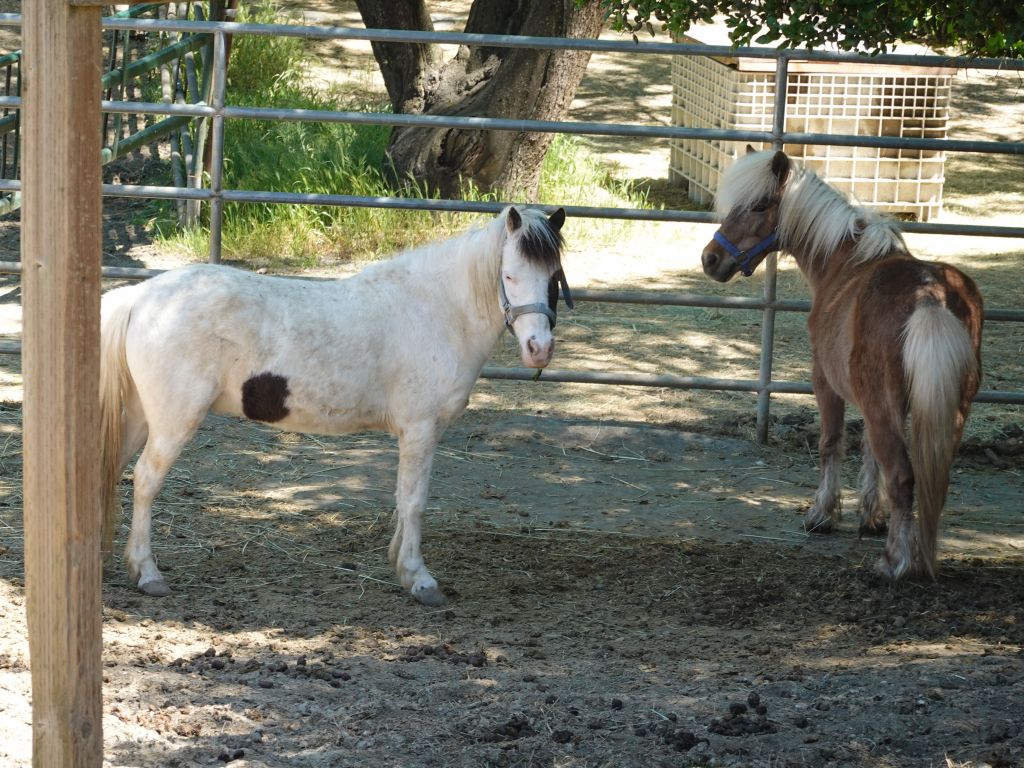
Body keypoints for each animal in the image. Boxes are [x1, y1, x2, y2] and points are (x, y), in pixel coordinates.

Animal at [99, 205, 573, 606]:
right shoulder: (420, 429)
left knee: (114, 472)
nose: (538, 350)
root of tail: (141, 296)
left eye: (553, 276)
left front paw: (400, 565)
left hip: (140, 417)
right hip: (172, 421)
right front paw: (420, 580)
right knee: (145, 480)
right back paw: (148, 574)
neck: (433, 311)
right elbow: (415, 502)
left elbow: (402, 500)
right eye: (508, 276)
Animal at [700, 147, 978, 581]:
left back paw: (895, 562)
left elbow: (831, 443)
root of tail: (930, 294)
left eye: (760, 205)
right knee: (933, 477)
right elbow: (867, 451)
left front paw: (822, 515)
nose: (711, 259)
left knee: (903, 477)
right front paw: (870, 517)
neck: (845, 261)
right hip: (951, 412)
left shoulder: (826, 383)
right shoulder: (877, 405)